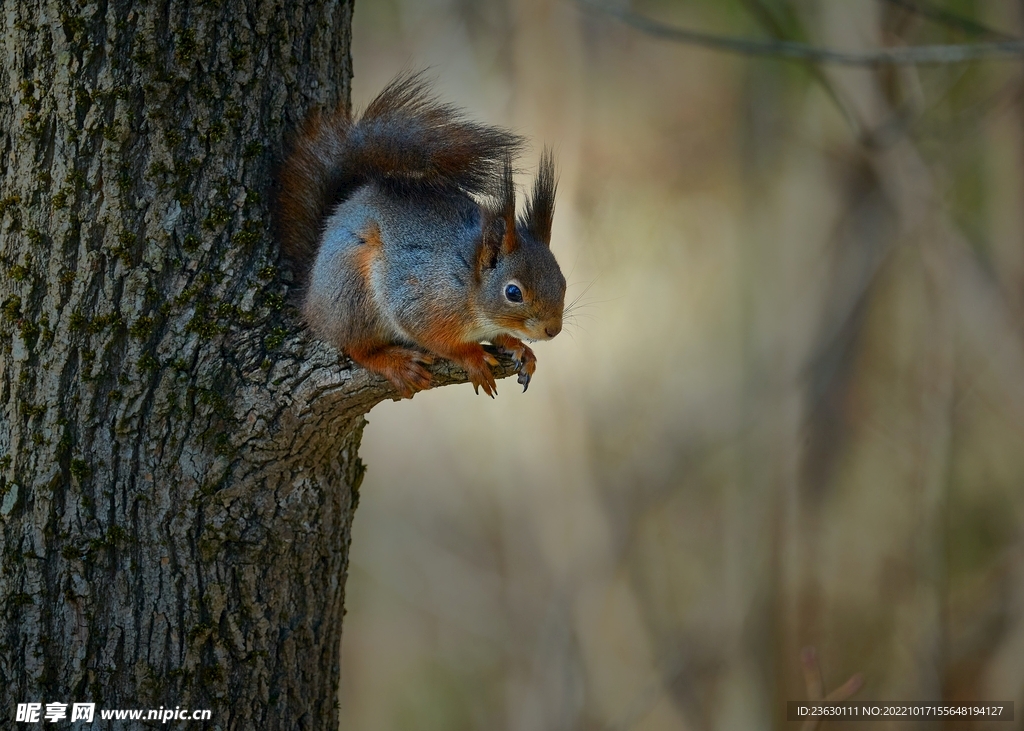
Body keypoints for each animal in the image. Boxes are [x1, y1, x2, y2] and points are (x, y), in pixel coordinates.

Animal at [278, 71, 569, 395]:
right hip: (352, 294)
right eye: (513, 293)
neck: (467, 279)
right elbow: (436, 339)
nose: (553, 329)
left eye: (563, 281)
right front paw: (473, 357)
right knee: (356, 347)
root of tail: (311, 297)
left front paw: (519, 347)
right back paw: (396, 363)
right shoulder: (422, 301)